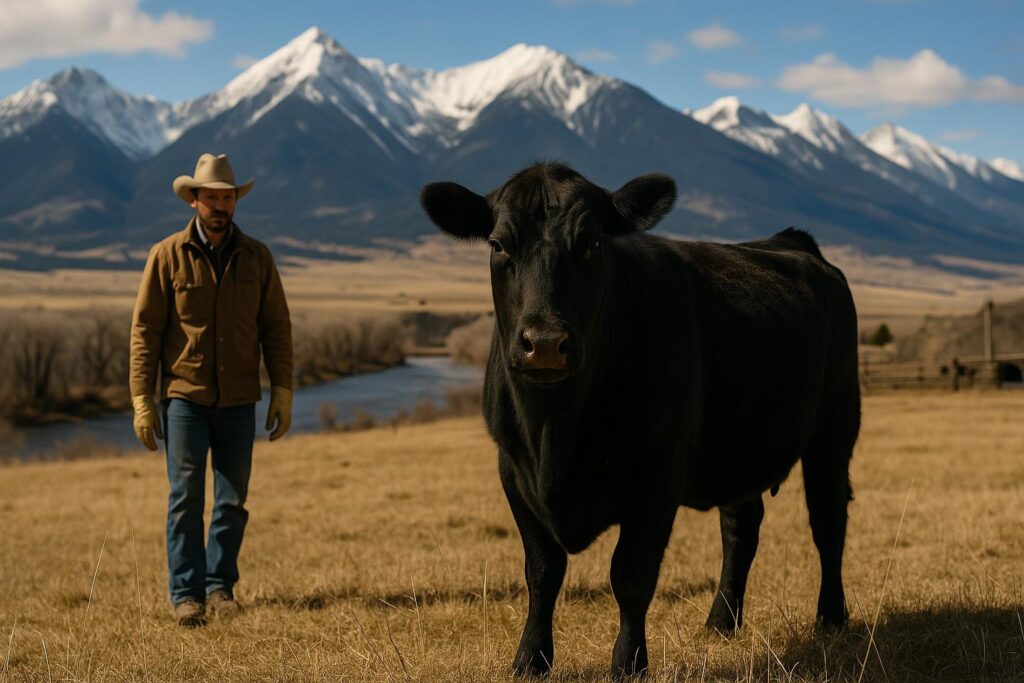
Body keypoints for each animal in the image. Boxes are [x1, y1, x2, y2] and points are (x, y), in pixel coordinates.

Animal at [419, 163, 860, 679]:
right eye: (497, 244)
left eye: (593, 242)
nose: (544, 343)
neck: (554, 432)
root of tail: (790, 241)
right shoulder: (512, 469)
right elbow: (543, 571)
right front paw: (529, 660)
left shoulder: (658, 476)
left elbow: (630, 575)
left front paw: (628, 663)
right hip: (740, 447)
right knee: (740, 528)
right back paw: (720, 622)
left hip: (835, 427)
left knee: (827, 520)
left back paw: (831, 618)